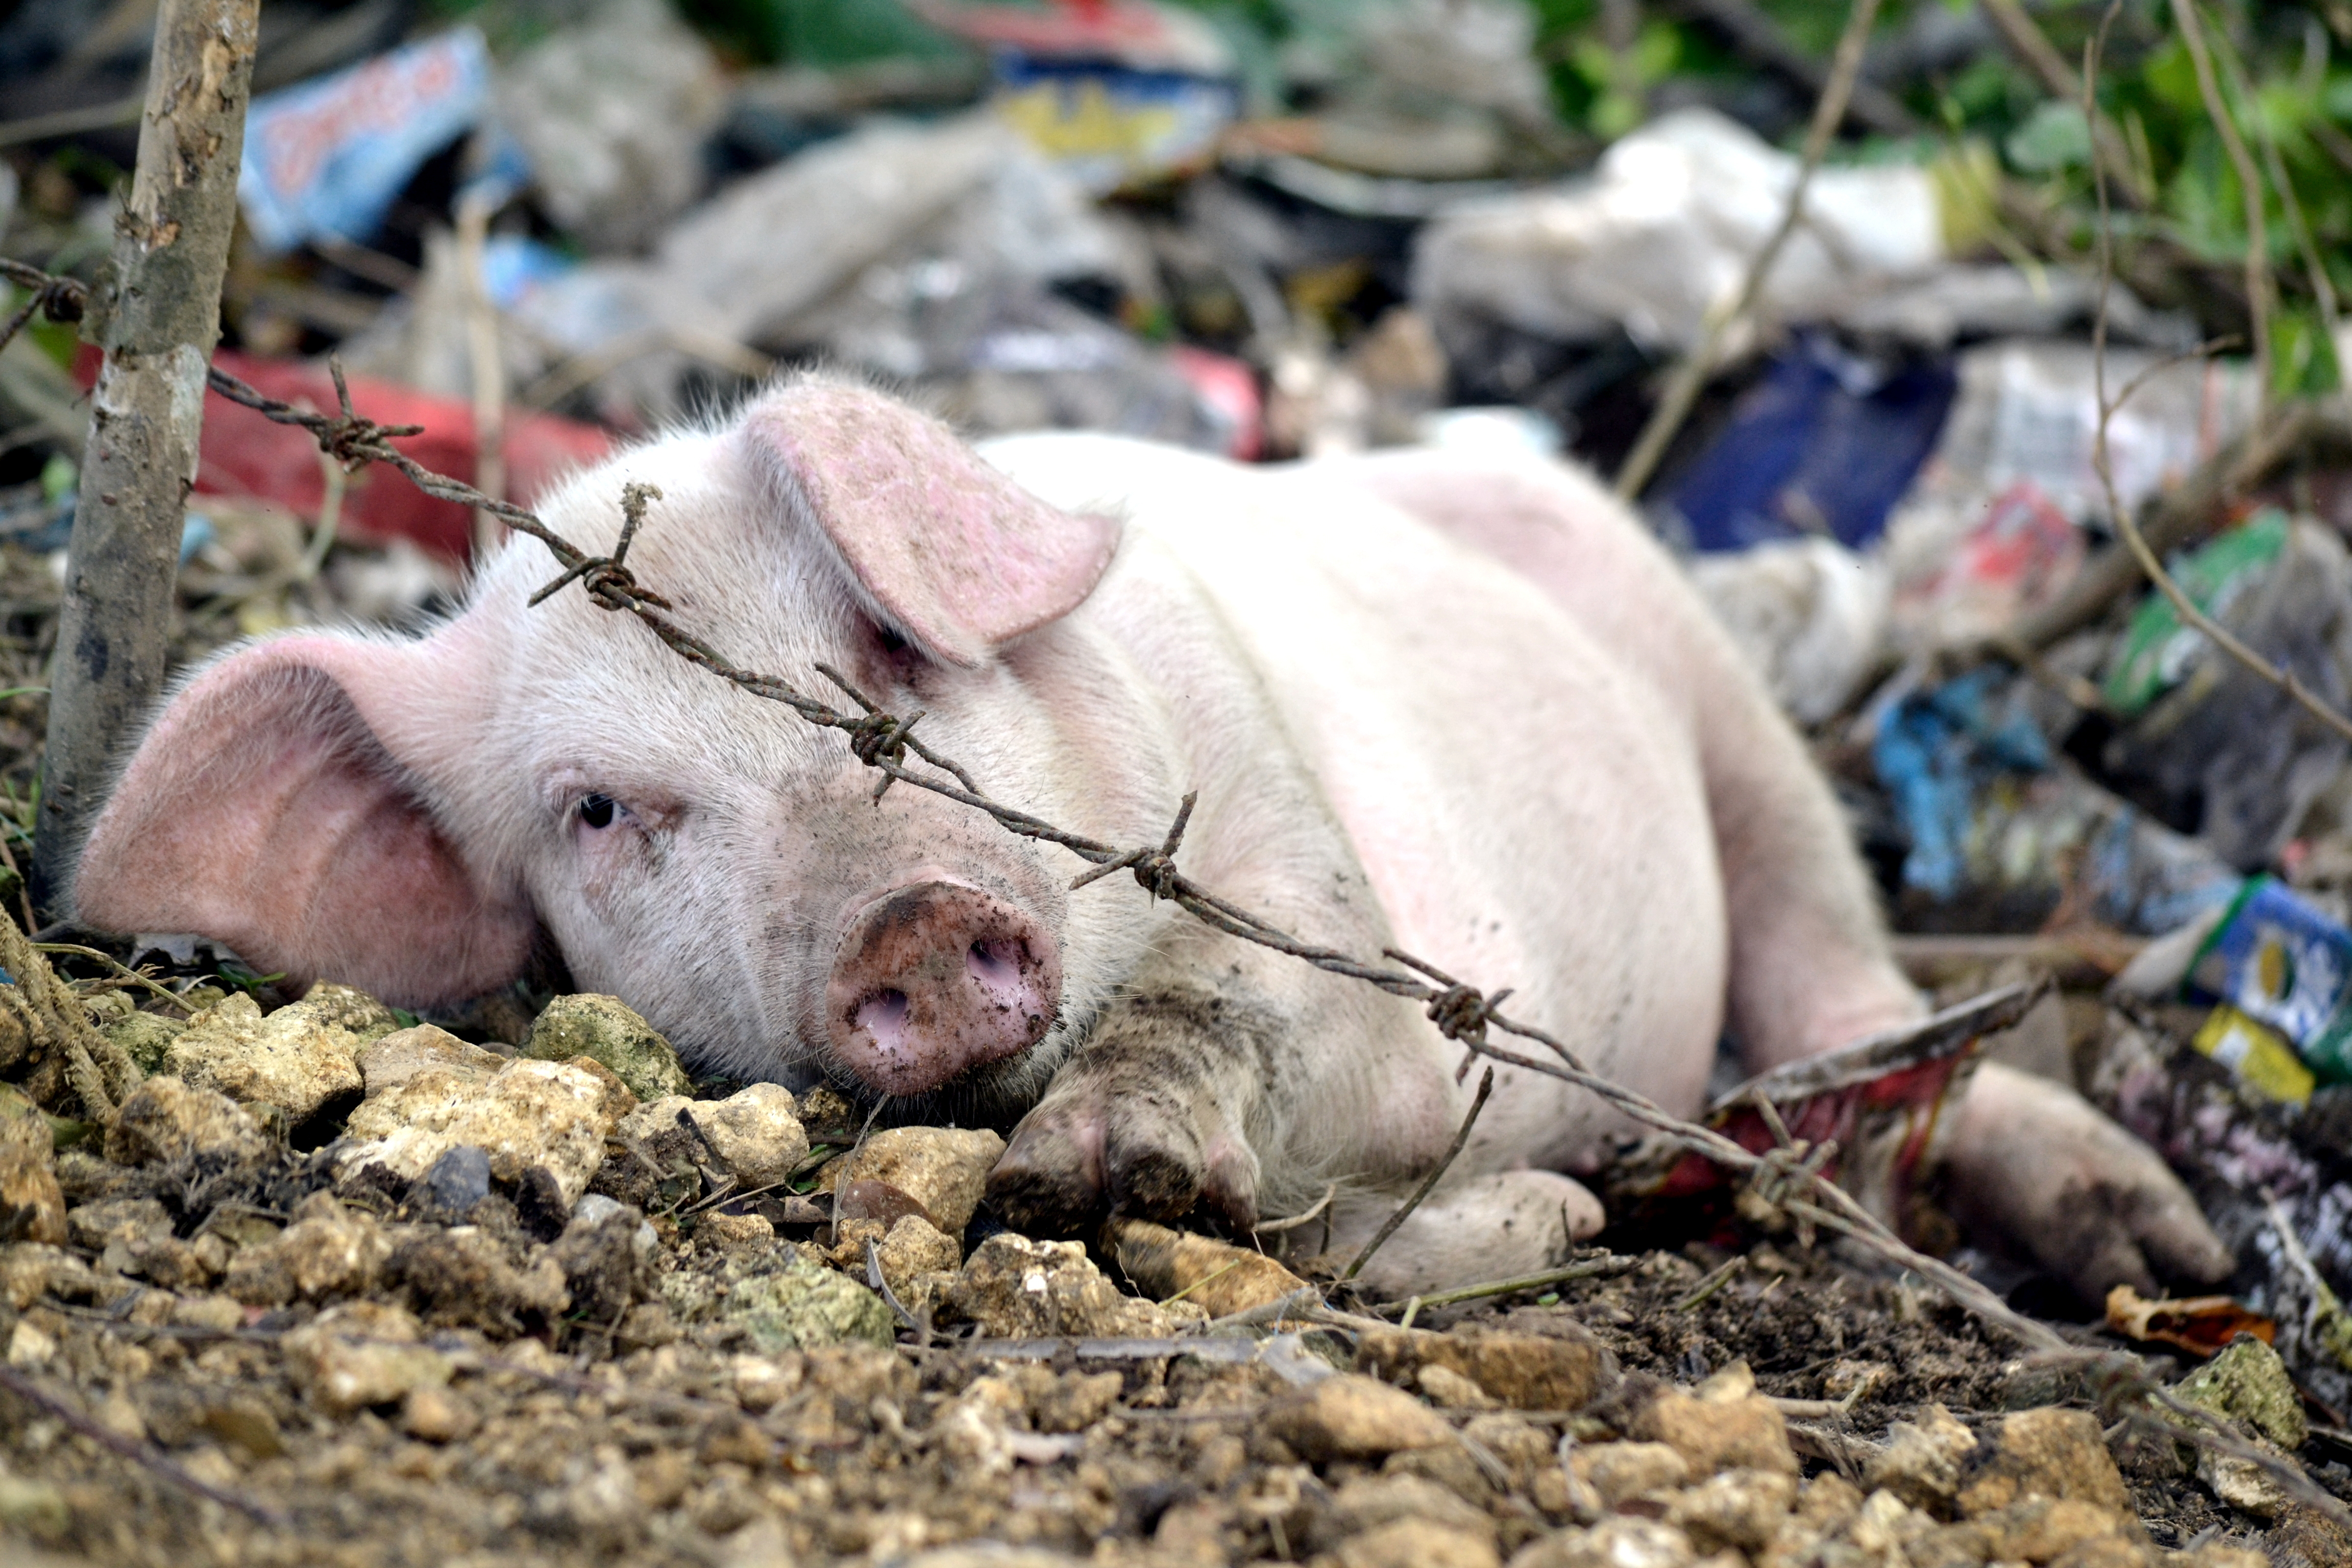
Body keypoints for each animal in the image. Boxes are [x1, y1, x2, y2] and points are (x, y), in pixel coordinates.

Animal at [71, 376, 2230, 1301]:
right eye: (604, 812)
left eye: (888, 652)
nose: (907, 922)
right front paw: (1528, 1220)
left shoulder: (1339, 903)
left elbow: (1248, 1016)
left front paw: (1111, 1166)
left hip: (1726, 715)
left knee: (1859, 1006)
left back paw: (2158, 1244)